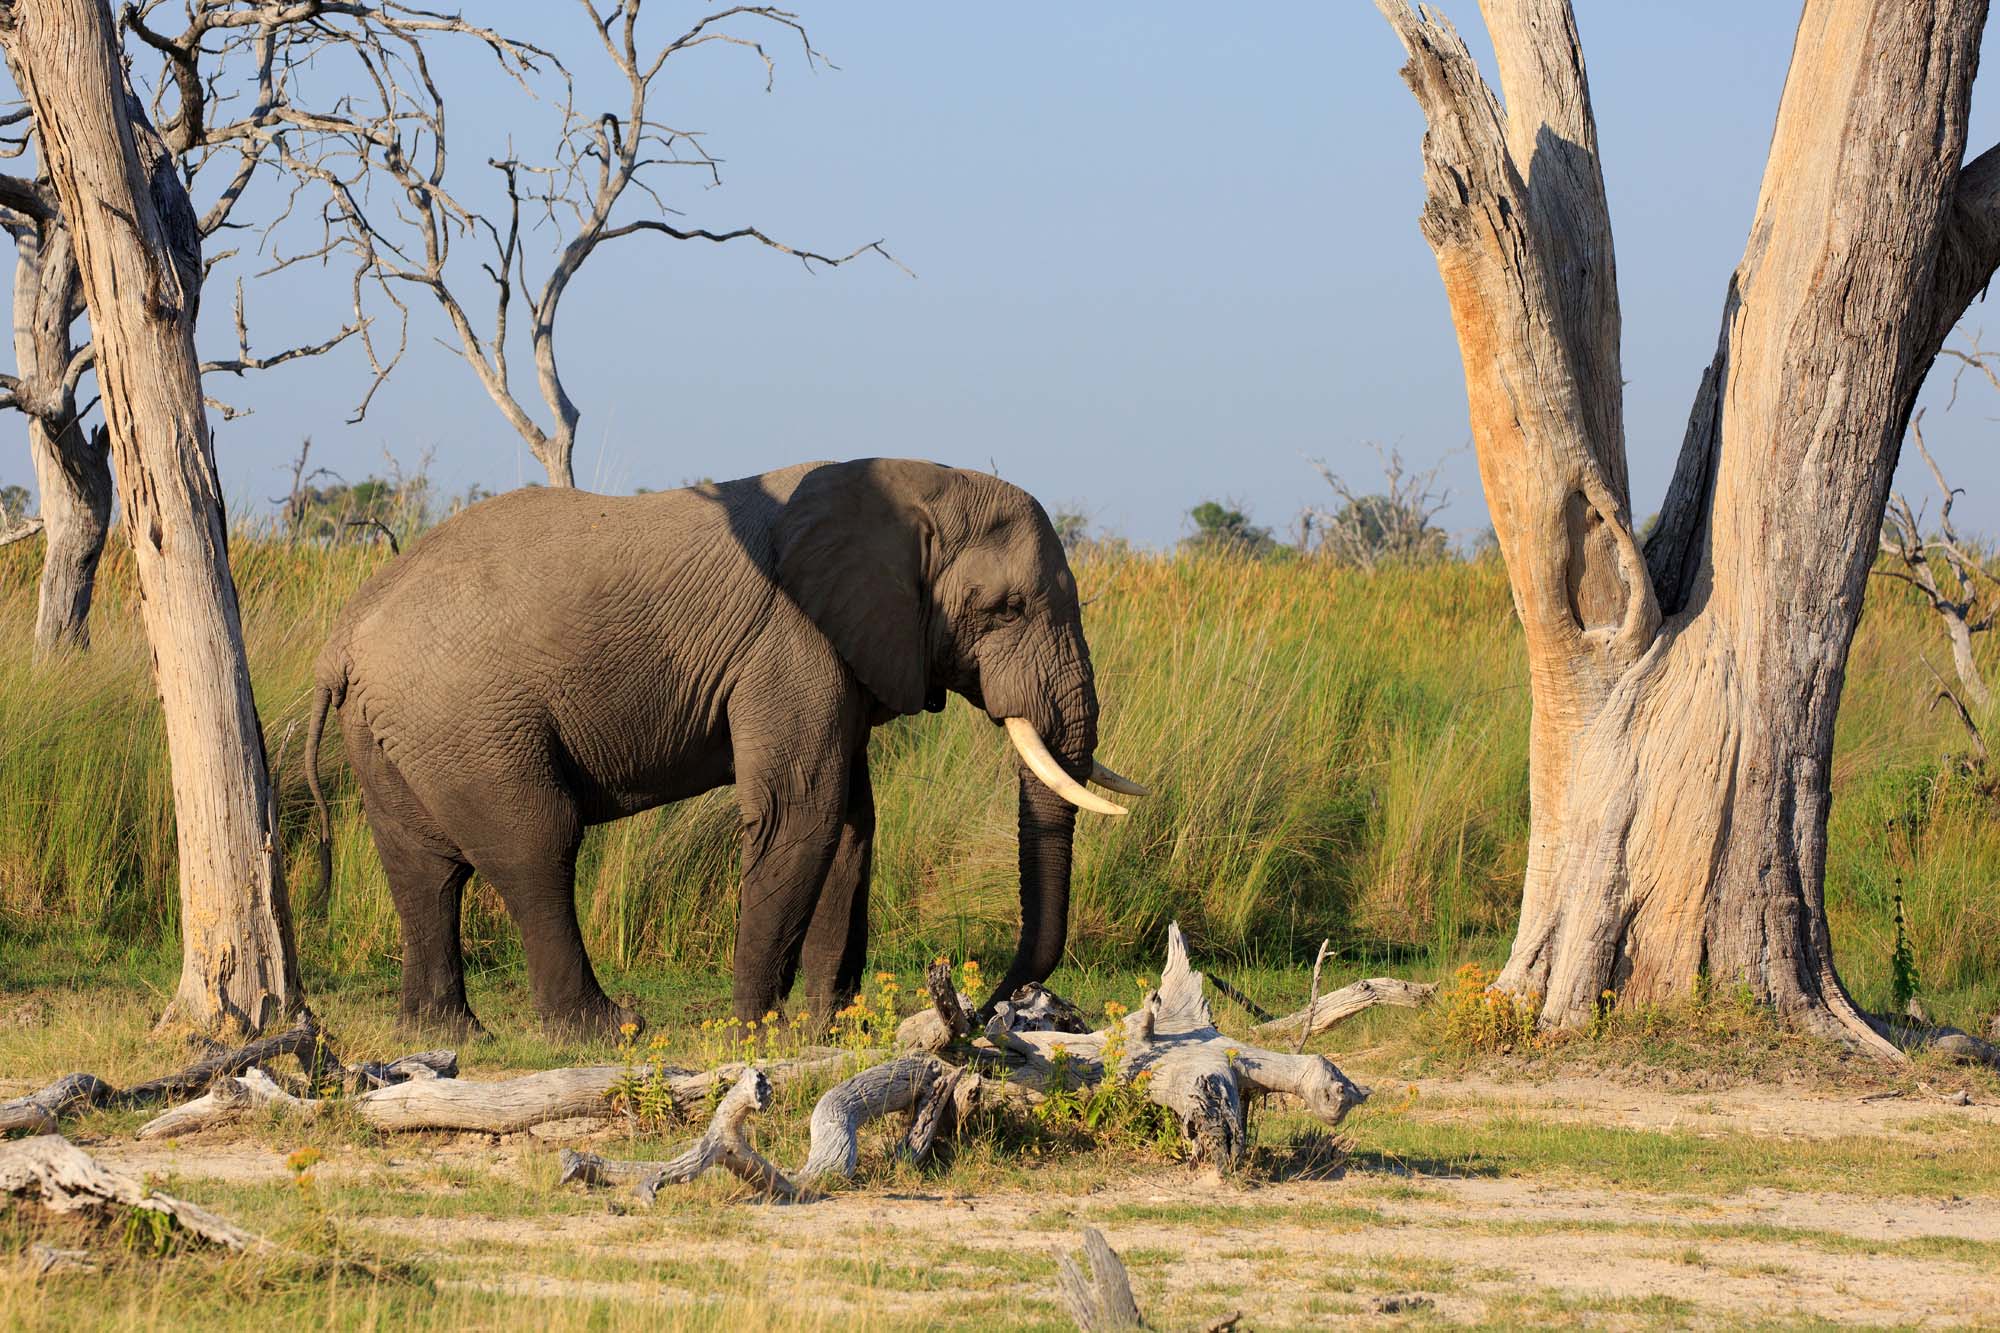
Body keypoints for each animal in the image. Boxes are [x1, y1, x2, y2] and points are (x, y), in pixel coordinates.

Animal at [303, 458, 1147, 1036]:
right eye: (1005, 608)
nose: (994, 1006)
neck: (910, 483)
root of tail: (342, 639)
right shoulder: (791, 643)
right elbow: (801, 813)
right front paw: (755, 1031)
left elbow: (850, 823)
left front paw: (831, 1028)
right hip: (467, 715)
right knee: (535, 842)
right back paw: (608, 1029)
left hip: (401, 727)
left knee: (423, 866)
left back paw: (445, 1030)